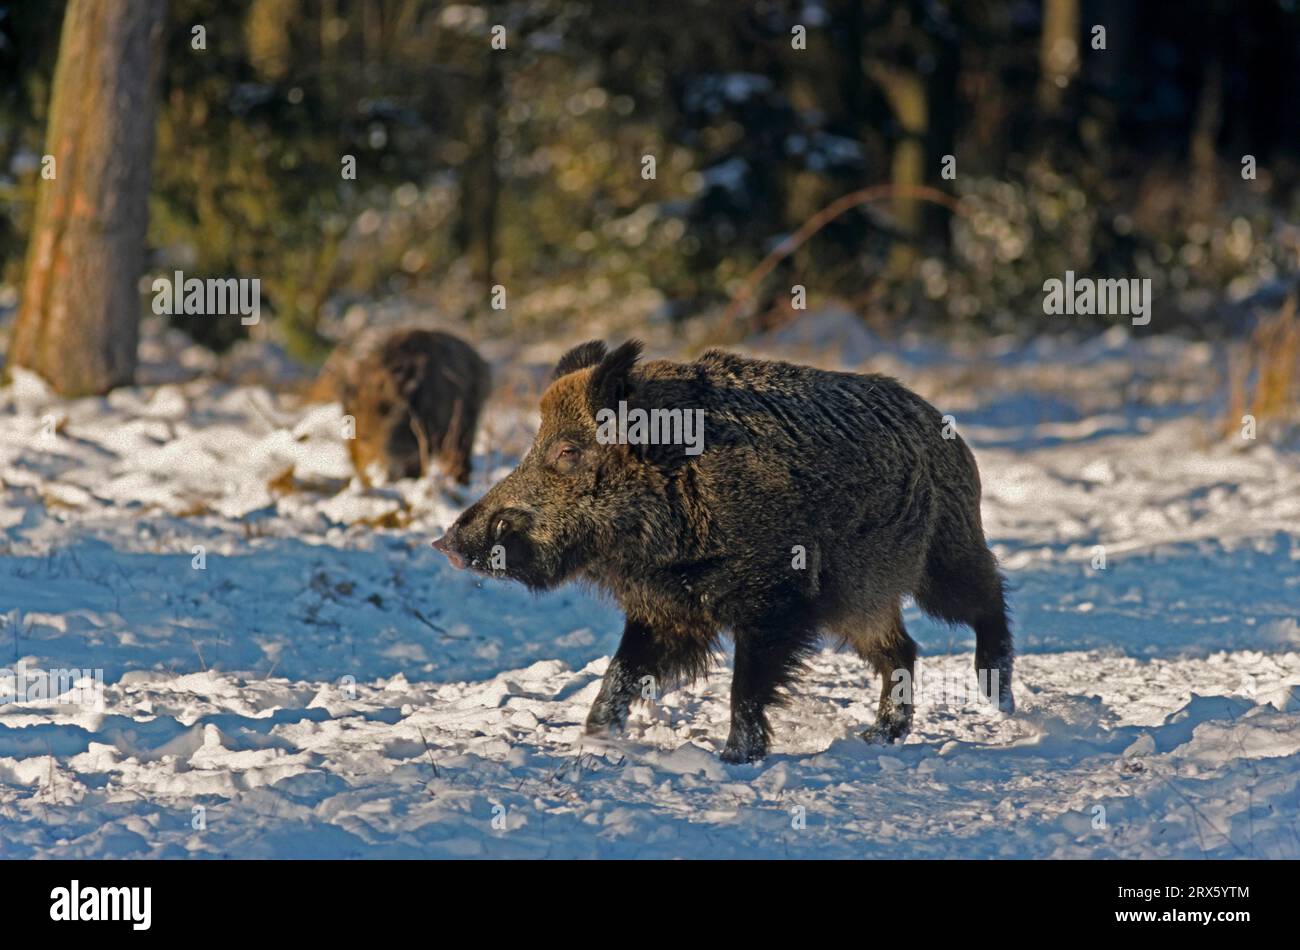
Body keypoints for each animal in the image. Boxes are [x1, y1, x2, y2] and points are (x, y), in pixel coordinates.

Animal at [432, 340, 1014, 763]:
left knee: (984, 601)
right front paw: (593, 742)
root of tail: (945, 426)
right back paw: (878, 738)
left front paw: (735, 759)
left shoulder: (774, 599)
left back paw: (999, 701)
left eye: (568, 451)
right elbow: (619, 675)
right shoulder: (665, 611)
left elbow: (746, 686)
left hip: (943, 555)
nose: (447, 544)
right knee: (902, 649)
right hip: (859, 600)